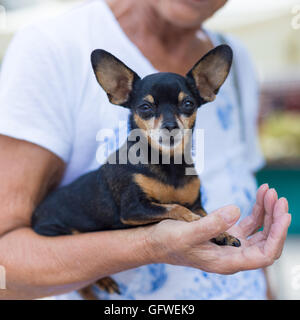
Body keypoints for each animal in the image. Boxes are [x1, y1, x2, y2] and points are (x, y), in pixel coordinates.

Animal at [31, 43, 240, 298]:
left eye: (188, 104)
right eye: (145, 107)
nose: (170, 126)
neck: (168, 164)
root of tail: (35, 215)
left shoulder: (195, 202)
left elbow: (205, 215)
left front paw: (222, 233)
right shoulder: (134, 208)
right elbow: (176, 208)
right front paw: (195, 221)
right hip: (63, 234)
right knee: (82, 282)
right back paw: (103, 281)